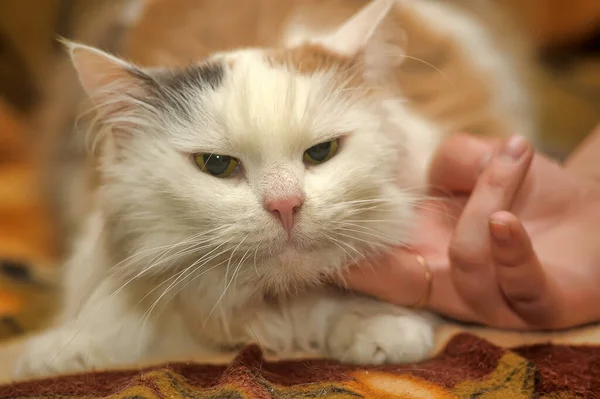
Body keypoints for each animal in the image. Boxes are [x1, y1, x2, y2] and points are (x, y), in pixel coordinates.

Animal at [16, 0, 536, 380]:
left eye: (321, 152)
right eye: (217, 165)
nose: (286, 205)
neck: (284, 309)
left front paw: (380, 329)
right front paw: (50, 356)